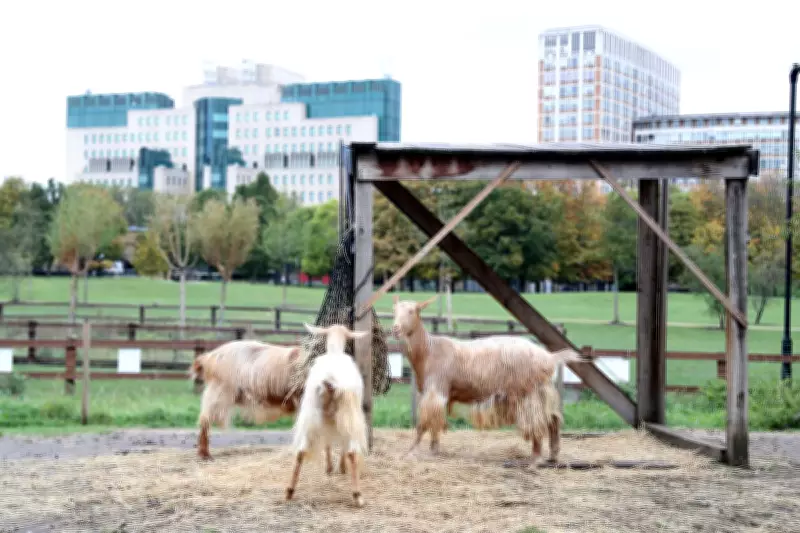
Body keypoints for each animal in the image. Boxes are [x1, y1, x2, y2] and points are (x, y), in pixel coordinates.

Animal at [285, 323, 370, 508]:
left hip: (311, 414)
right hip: (348, 413)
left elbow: (328, 444)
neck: (335, 351)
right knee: (351, 452)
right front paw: (340, 468)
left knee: (300, 451)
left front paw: (330, 468)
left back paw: (289, 491)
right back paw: (357, 495)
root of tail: (330, 381)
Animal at [391, 295, 586, 466]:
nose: (395, 328)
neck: (429, 350)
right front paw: (433, 450)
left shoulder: (436, 389)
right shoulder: (439, 393)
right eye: (395, 310)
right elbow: (435, 423)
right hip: (543, 389)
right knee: (553, 419)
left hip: (528, 391)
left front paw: (410, 452)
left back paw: (535, 459)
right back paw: (553, 456)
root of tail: (549, 357)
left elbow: (423, 424)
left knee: (537, 422)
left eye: (413, 310)